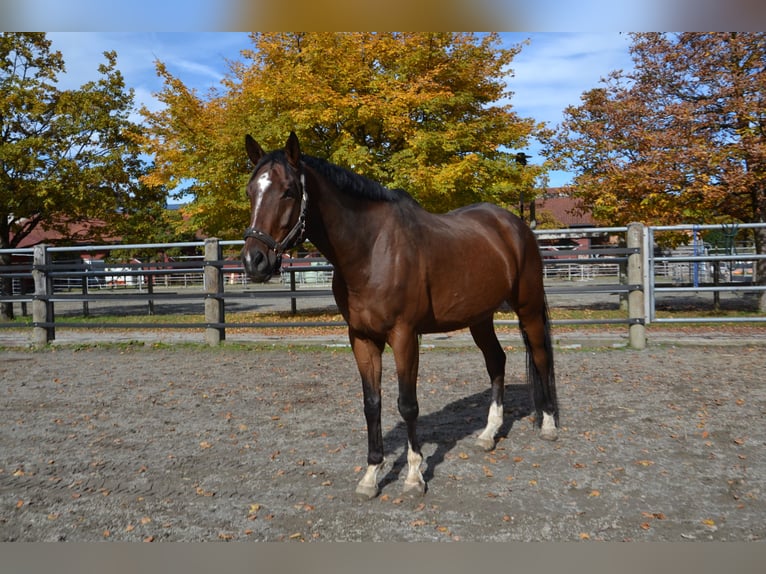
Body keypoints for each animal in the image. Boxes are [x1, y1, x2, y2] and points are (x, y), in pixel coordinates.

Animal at [240, 133, 560, 502]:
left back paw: (549, 425)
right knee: (496, 361)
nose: (254, 261)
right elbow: (372, 404)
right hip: (479, 317)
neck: (370, 250)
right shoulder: (362, 338)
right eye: (250, 191)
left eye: (289, 191)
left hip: (528, 307)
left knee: (541, 356)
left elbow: (407, 404)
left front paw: (414, 476)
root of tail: (514, 225)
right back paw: (488, 434)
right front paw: (371, 475)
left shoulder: (404, 336)